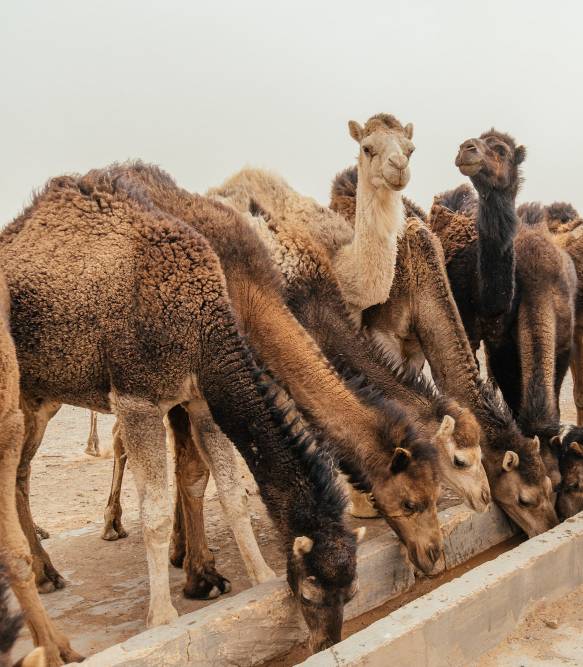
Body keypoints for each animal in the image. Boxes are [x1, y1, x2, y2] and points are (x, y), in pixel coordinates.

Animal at [0, 168, 361, 663]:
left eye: (350, 592)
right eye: (309, 590)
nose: (326, 642)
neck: (199, 316)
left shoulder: (201, 398)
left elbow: (231, 495)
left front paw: (259, 577)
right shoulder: (137, 397)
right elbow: (152, 513)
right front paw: (162, 616)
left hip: (35, 395)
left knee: (20, 474)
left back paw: (47, 574)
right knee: (20, 472)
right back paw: (50, 601)